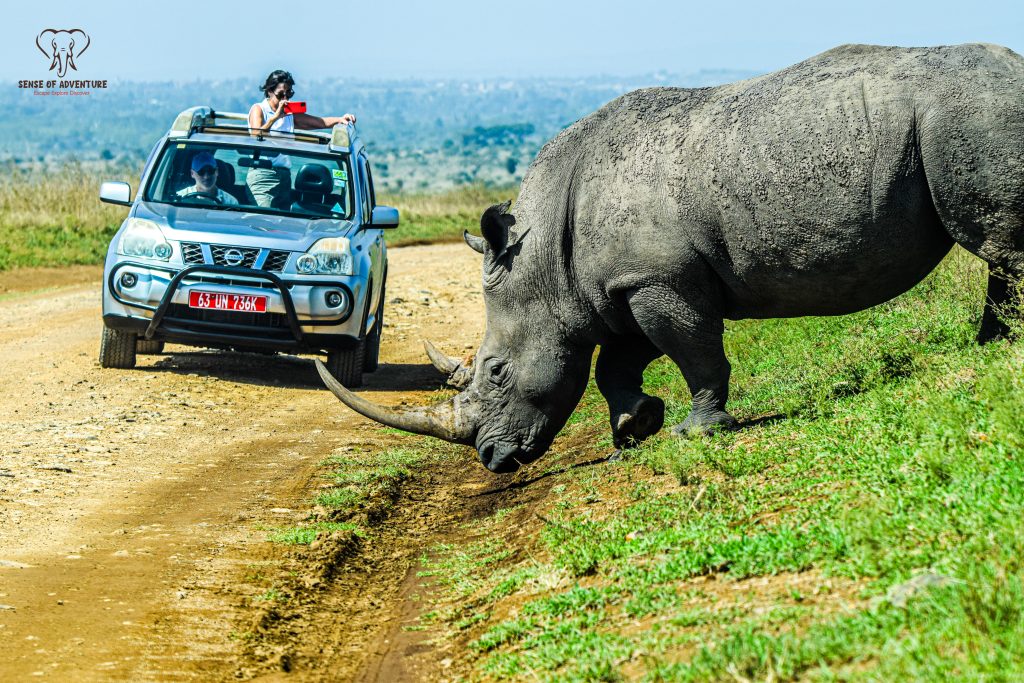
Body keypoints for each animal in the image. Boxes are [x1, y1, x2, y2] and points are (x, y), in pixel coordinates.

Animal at [317, 43, 1024, 473]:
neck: (543, 257)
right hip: (962, 116)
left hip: (968, 113)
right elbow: (615, 363)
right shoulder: (621, 285)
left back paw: (999, 347)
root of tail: (1013, 64)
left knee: (997, 242)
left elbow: (693, 351)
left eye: (495, 372)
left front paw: (696, 431)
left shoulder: (660, 279)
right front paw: (636, 427)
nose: (492, 459)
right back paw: (992, 345)